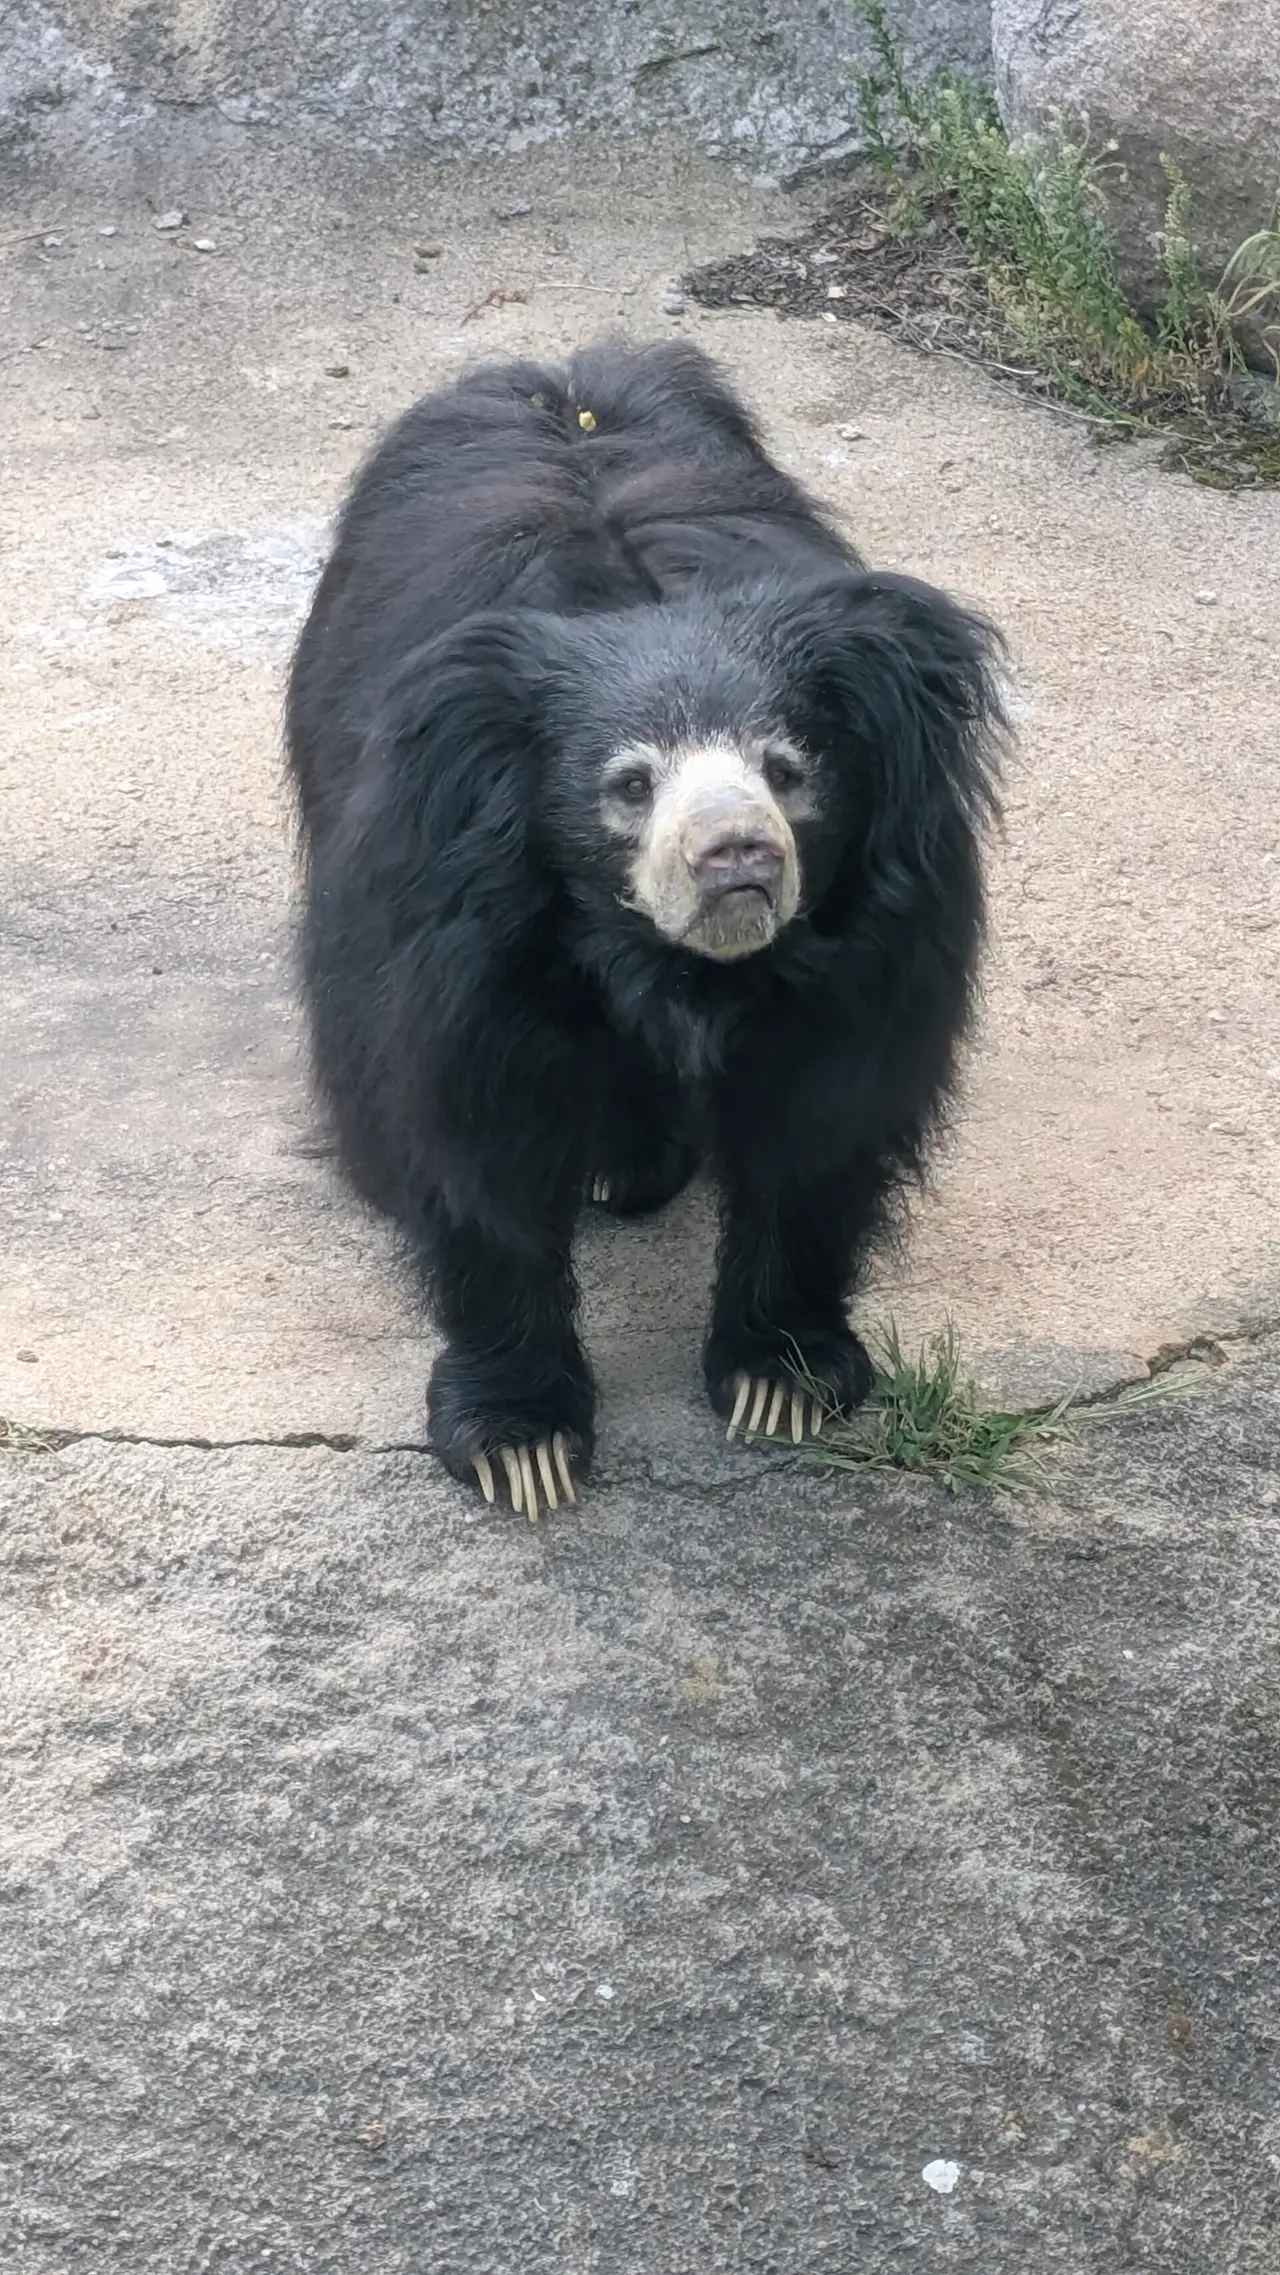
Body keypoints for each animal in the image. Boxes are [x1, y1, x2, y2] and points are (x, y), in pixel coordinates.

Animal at [286, 338, 1004, 1515]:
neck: (674, 962)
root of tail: (562, 381)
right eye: (630, 784)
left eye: (785, 771)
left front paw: (781, 1379)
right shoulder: (455, 929)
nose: (738, 860)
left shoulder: (878, 940)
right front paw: (519, 1444)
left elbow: (823, 1119)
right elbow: (469, 1129)